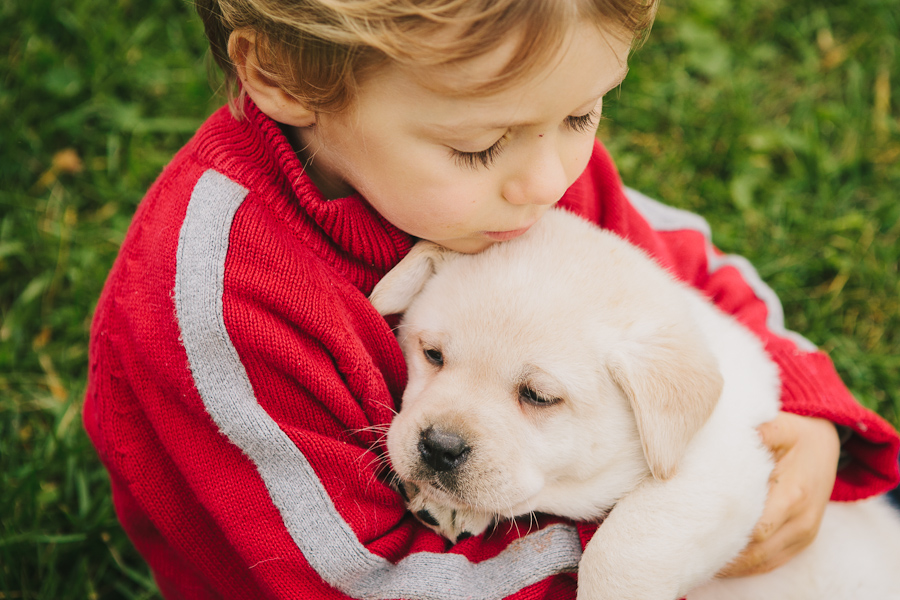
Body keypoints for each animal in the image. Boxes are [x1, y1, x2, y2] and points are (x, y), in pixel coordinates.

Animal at [370, 207, 900, 600]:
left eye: (538, 397)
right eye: (432, 355)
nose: (439, 447)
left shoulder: (723, 465)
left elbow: (621, 551)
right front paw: (449, 506)